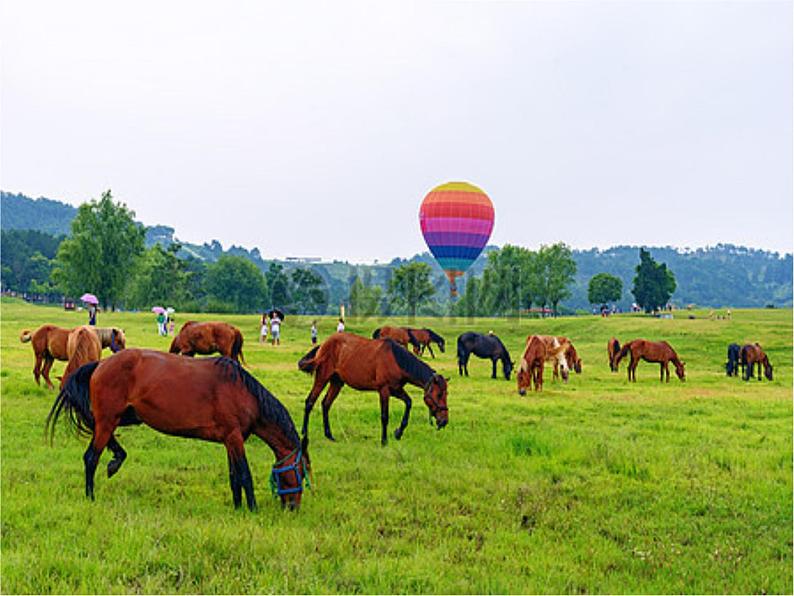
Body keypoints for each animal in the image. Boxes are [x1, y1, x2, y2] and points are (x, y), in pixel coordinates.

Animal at [44, 352, 308, 510]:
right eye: (302, 471)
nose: (293, 507)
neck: (243, 391)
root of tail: (100, 364)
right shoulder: (234, 438)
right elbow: (245, 475)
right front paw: (252, 510)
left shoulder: (230, 441)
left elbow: (234, 478)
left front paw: (238, 508)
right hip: (109, 419)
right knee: (91, 458)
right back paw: (91, 495)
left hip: (122, 418)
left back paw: (116, 459)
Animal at [296, 332, 446, 444]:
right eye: (439, 395)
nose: (444, 421)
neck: (396, 360)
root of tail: (323, 344)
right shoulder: (384, 390)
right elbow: (384, 416)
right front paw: (384, 441)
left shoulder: (396, 390)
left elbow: (409, 403)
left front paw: (398, 432)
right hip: (322, 378)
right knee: (310, 402)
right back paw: (304, 432)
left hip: (336, 383)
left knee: (326, 404)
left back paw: (329, 435)